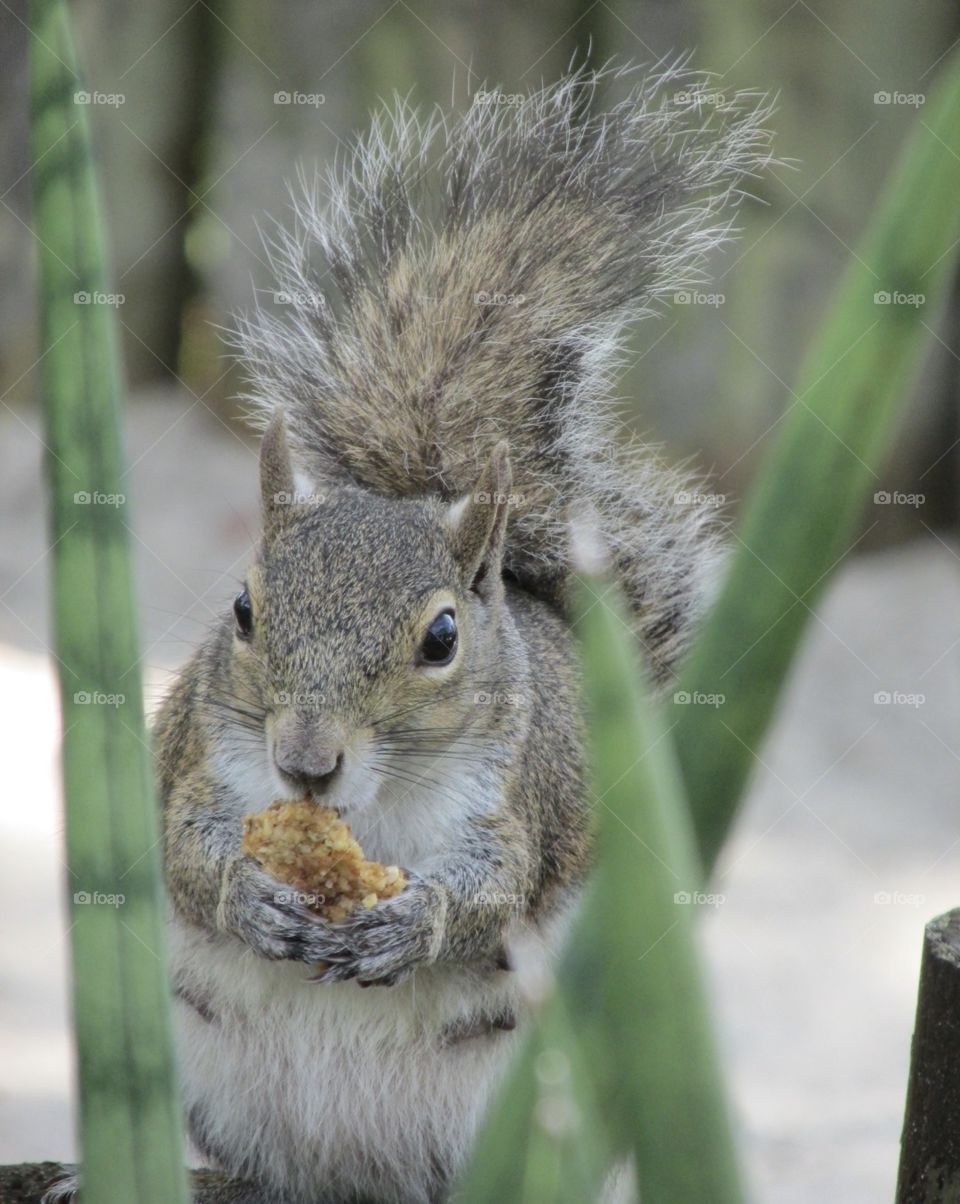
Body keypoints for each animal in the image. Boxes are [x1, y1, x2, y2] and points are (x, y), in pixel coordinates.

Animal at [47, 62, 773, 1204]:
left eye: (441, 639)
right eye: (244, 609)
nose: (305, 763)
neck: (368, 811)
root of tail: (353, 1169)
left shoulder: (516, 797)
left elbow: (494, 889)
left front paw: (412, 921)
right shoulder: (200, 761)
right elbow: (183, 851)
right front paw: (250, 897)